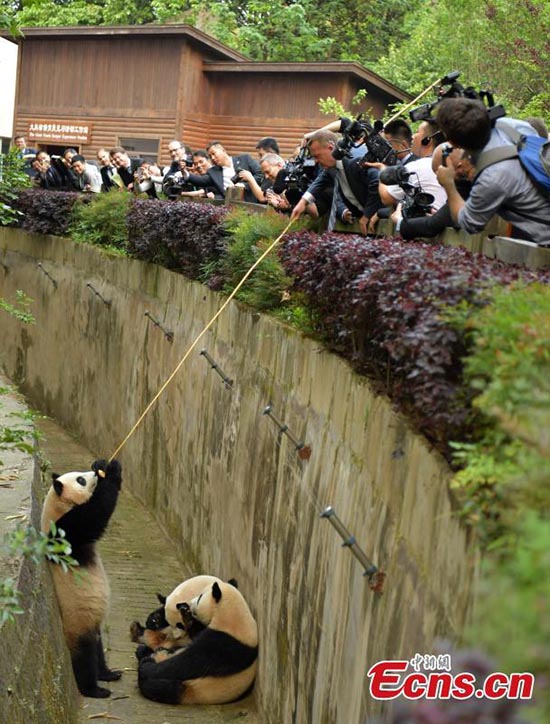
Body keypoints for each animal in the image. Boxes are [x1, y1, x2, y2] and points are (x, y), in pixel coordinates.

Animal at [41, 458, 122, 698]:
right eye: (80, 479)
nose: (94, 474)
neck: (59, 506)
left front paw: (102, 464)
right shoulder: (66, 532)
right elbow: (96, 514)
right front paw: (111, 471)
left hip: (90, 624)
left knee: (98, 649)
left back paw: (109, 674)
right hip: (77, 622)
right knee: (84, 659)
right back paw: (95, 689)